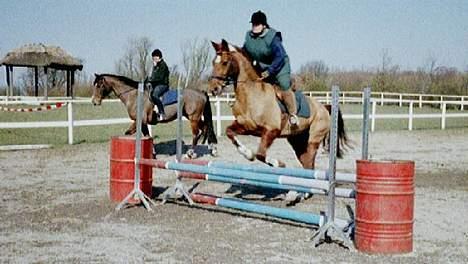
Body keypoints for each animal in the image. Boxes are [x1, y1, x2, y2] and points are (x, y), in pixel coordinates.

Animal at [208, 40, 348, 169]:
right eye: (213, 62)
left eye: (225, 62)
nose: (213, 89)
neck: (250, 96)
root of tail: (324, 107)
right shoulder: (246, 127)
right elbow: (229, 132)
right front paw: (248, 154)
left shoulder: (271, 130)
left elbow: (260, 154)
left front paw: (278, 164)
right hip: (297, 141)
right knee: (307, 163)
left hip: (313, 139)